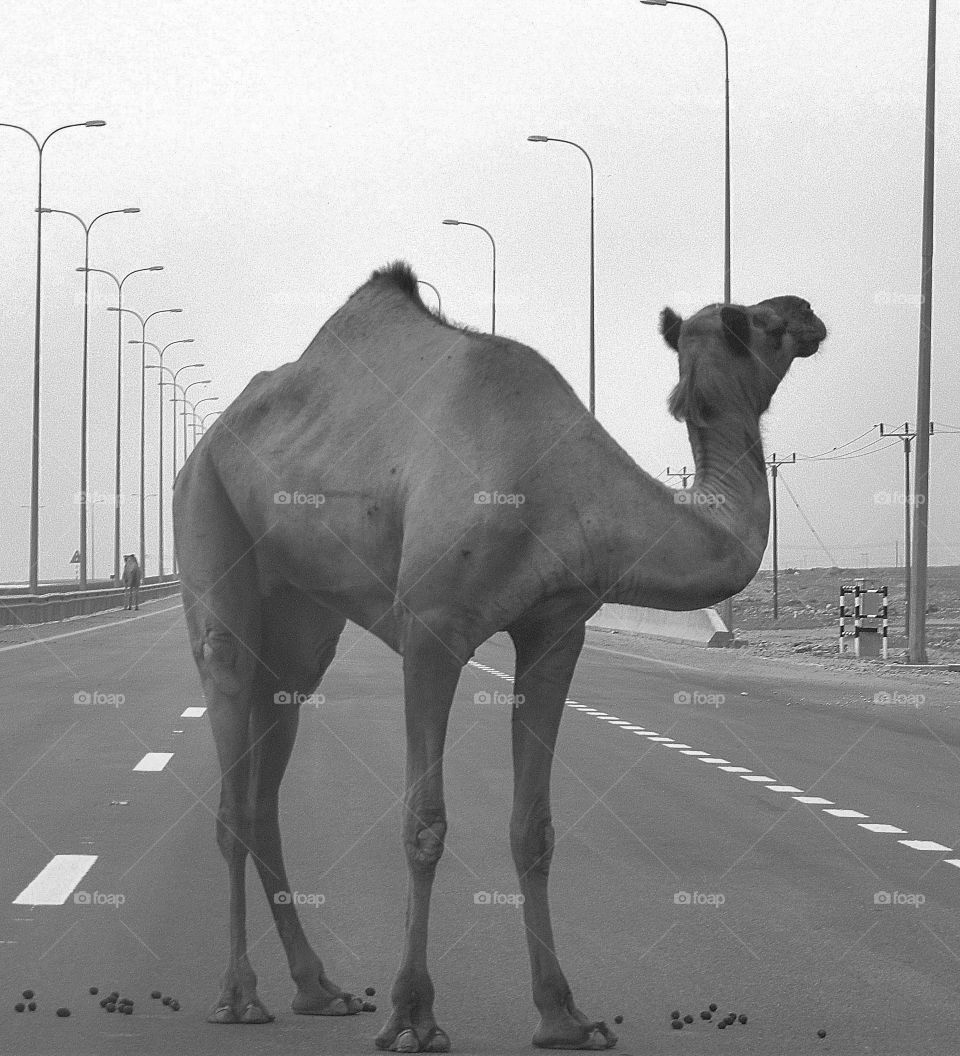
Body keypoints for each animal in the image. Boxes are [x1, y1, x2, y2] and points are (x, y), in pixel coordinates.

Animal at [172, 262, 826, 1052]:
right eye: (755, 320)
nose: (808, 310)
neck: (563, 485)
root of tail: (211, 439)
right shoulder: (432, 629)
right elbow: (424, 825)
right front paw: (413, 1016)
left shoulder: (557, 626)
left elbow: (532, 828)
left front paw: (564, 1015)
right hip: (206, 511)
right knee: (230, 732)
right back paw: (239, 996)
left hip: (301, 622)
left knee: (268, 767)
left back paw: (318, 988)